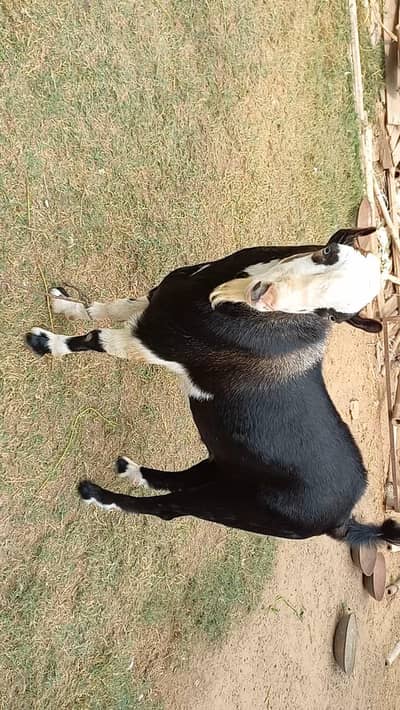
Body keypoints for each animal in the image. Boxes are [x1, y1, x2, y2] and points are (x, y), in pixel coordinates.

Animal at [25, 227, 400, 546]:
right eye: (327, 252)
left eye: (330, 315)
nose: (263, 294)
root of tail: (343, 518)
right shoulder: (157, 302)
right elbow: (109, 308)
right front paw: (64, 304)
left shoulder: (150, 344)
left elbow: (95, 338)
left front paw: (46, 343)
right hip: (229, 466)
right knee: (187, 477)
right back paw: (133, 472)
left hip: (234, 507)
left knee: (168, 509)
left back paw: (97, 495)